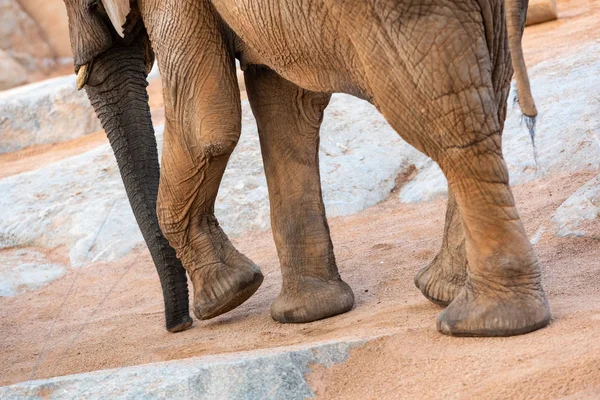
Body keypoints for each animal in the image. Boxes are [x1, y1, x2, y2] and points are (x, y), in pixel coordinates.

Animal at [64, 0, 548, 336]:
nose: (179, 325)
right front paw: (309, 313)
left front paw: (227, 297)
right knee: (488, 101)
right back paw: (444, 293)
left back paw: (482, 322)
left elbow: (206, 127)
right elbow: (284, 100)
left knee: (449, 131)